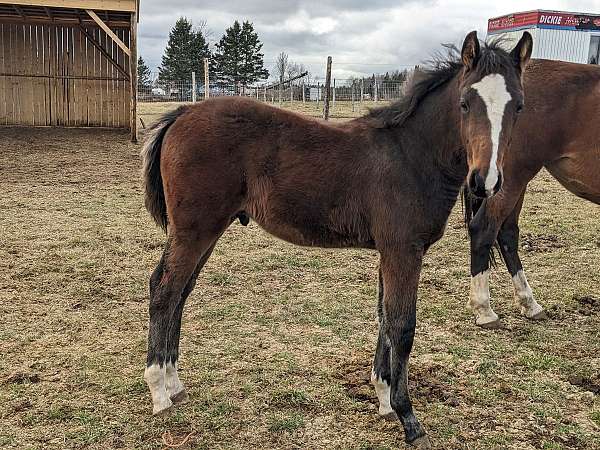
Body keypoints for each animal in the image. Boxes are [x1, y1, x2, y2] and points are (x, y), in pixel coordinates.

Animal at [143, 32, 532, 446]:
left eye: (519, 106)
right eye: (464, 103)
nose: (485, 181)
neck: (411, 155)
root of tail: (182, 113)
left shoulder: (389, 252)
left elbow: (383, 318)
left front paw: (384, 399)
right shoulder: (403, 251)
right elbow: (402, 326)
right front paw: (410, 420)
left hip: (205, 231)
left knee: (181, 292)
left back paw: (174, 382)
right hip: (195, 230)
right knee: (164, 290)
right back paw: (159, 392)